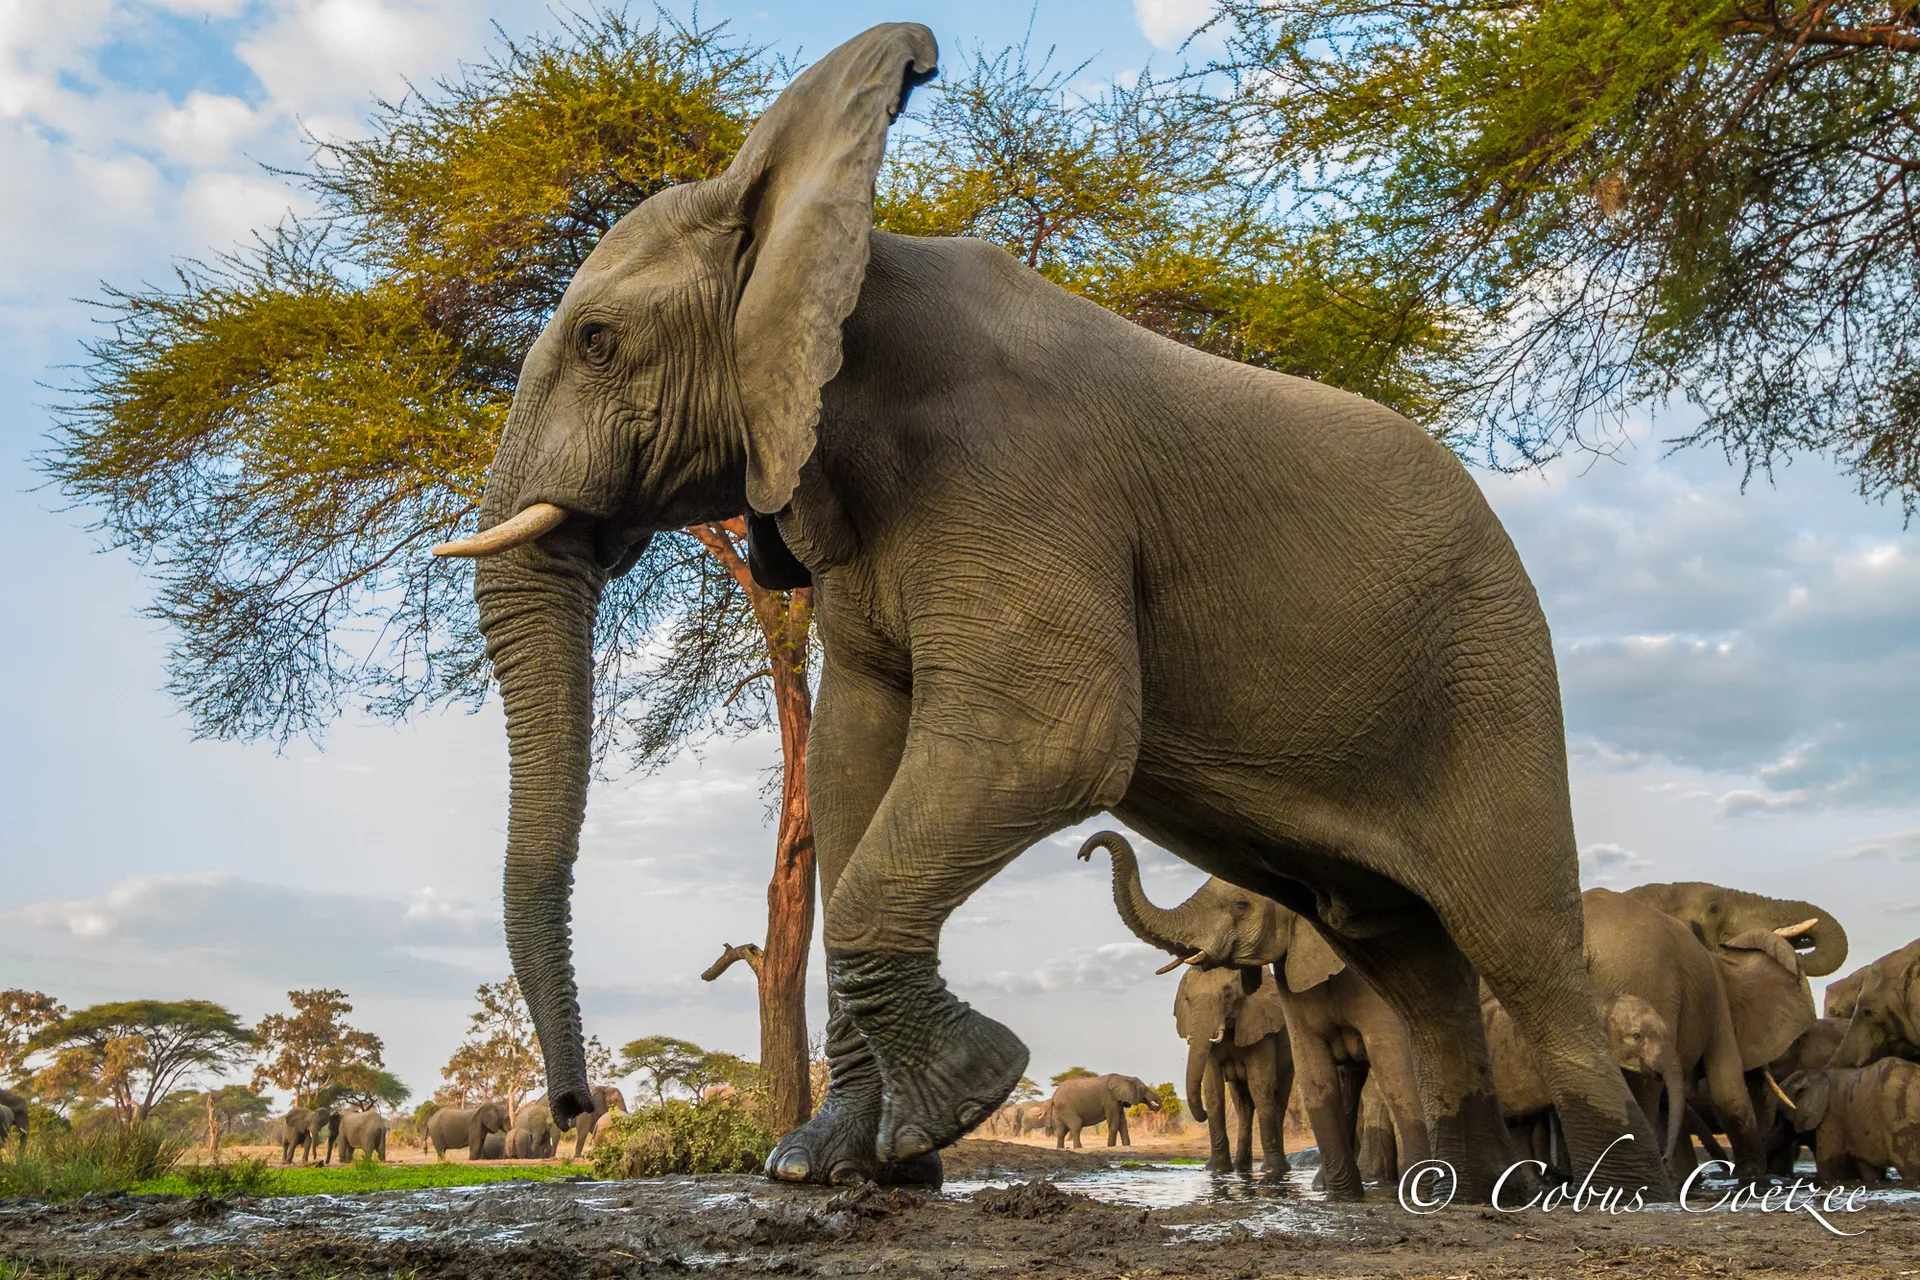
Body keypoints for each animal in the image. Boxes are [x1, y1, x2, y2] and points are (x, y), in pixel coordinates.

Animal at [1175, 963, 1292, 1177]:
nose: (1202, 1114)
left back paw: (1272, 1168)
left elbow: (1261, 1087)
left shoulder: (1261, 1028)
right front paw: (1217, 1170)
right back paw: (1241, 1168)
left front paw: (1273, 1172)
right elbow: (1213, 1090)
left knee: (1278, 1097)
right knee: (1243, 1105)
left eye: (1227, 995)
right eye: (1187, 999)